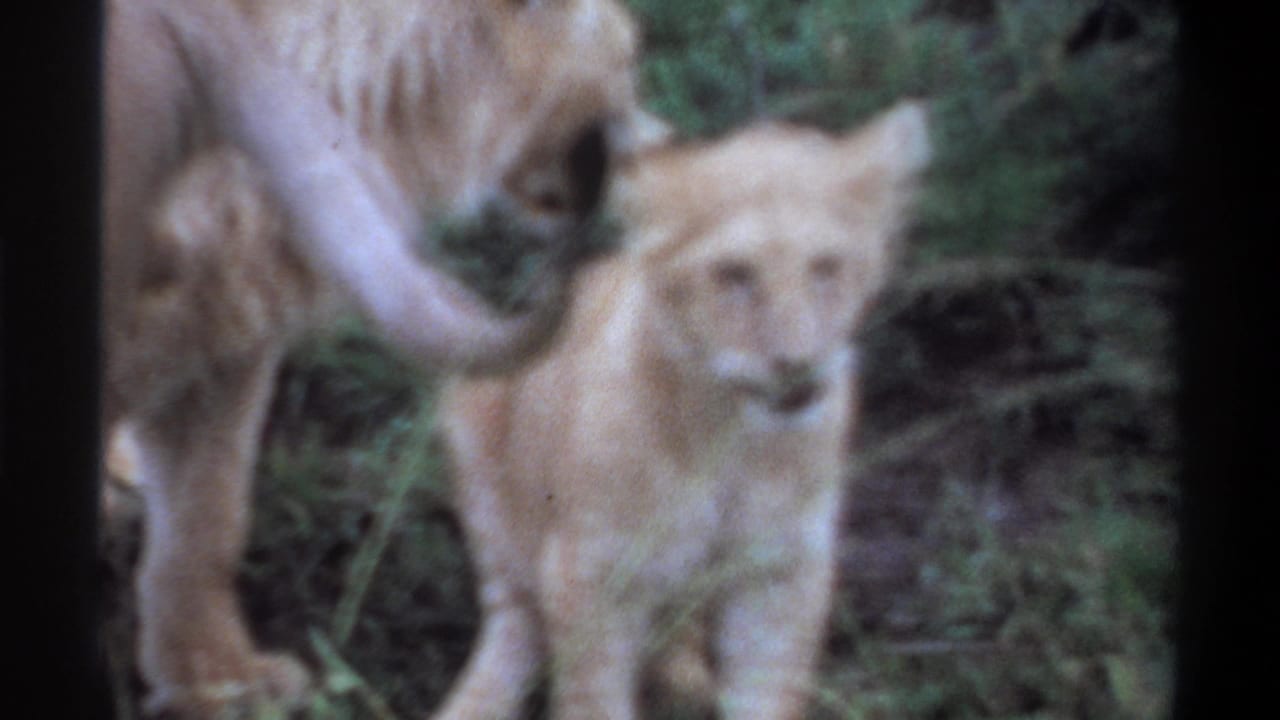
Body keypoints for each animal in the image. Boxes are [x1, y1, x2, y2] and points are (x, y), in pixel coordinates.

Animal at [436, 101, 932, 720]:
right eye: (734, 274)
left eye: (826, 267)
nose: (798, 366)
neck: (732, 440)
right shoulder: (591, 574)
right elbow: (594, 701)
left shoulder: (780, 573)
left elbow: (765, 695)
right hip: (476, 420)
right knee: (515, 619)